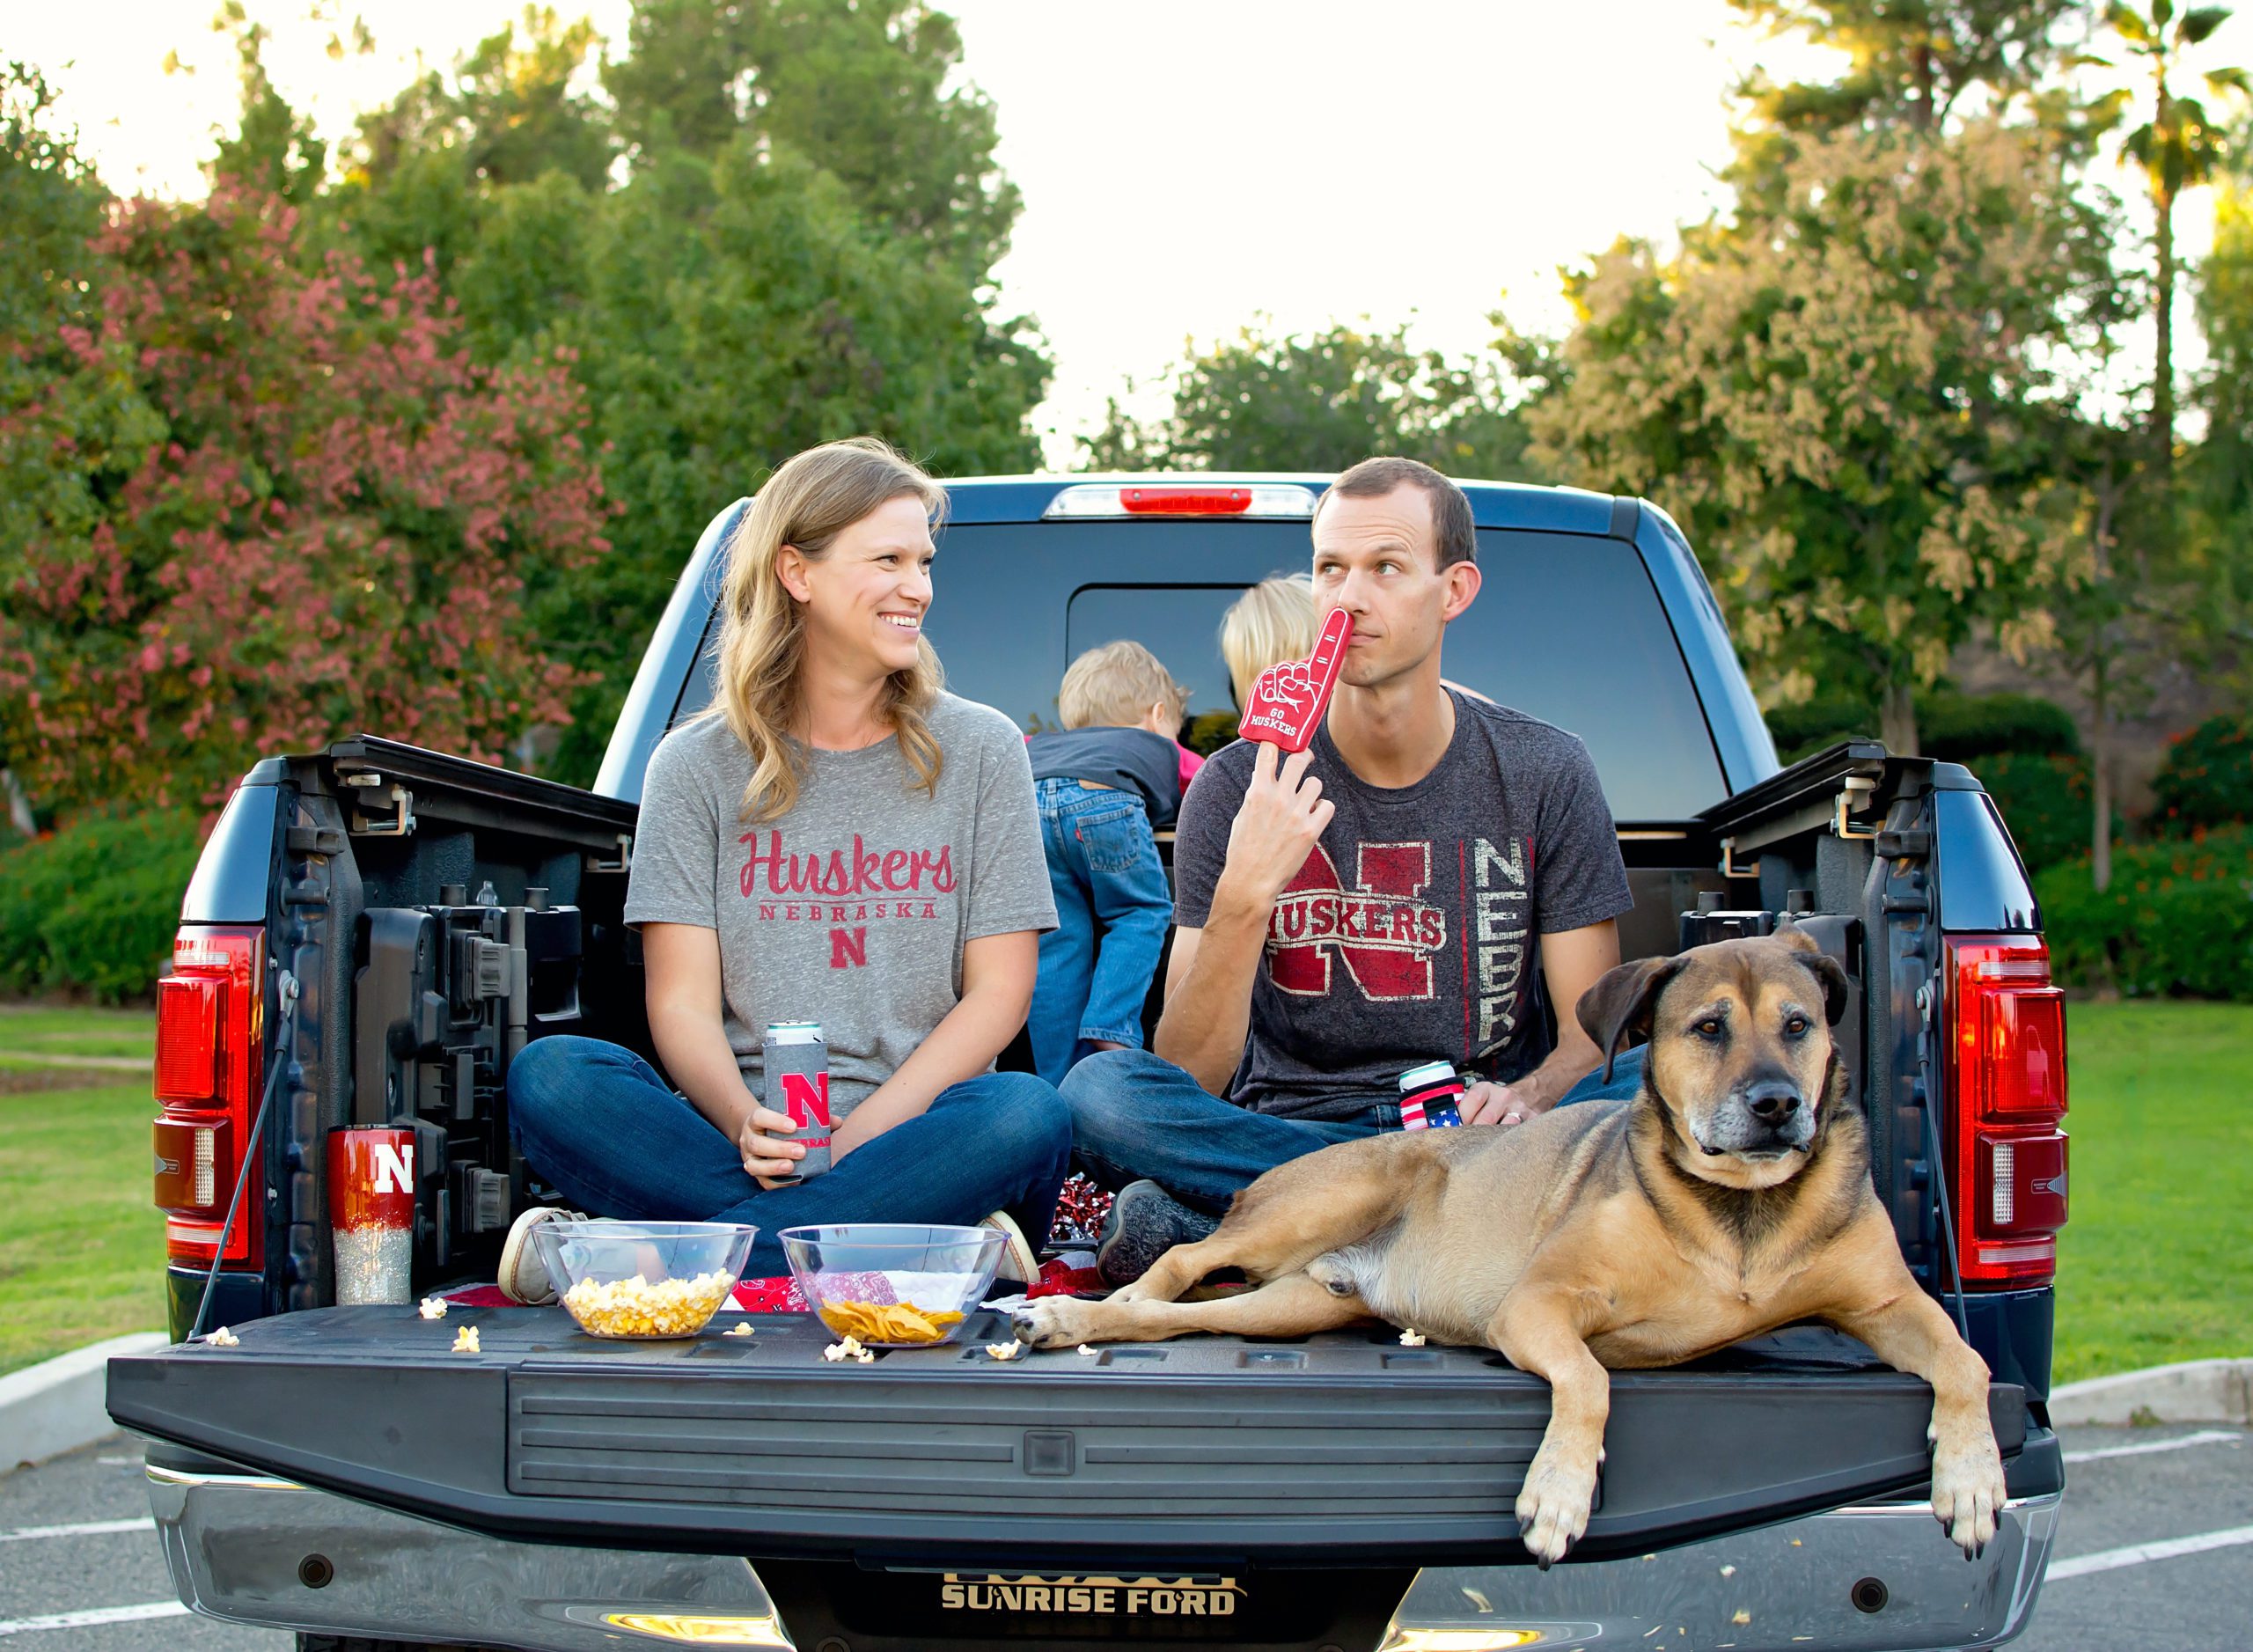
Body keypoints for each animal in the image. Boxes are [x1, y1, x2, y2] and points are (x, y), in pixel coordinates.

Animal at [1018, 929, 2009, 1560]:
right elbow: (1591, 1379)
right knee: (1176, 1266)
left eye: (1799, 1024)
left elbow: (1968, 1362)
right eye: (1708, 1027)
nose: (1776, 1104)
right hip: (1330, 1197)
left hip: (1291, 1304)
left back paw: (1075, 1320)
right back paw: (1087, 1297)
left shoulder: (1888, 1301)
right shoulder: (1538, 1305)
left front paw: (1969, 1478)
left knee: (1174, 1317)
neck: (1738, 1210)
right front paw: (1559, 1491)